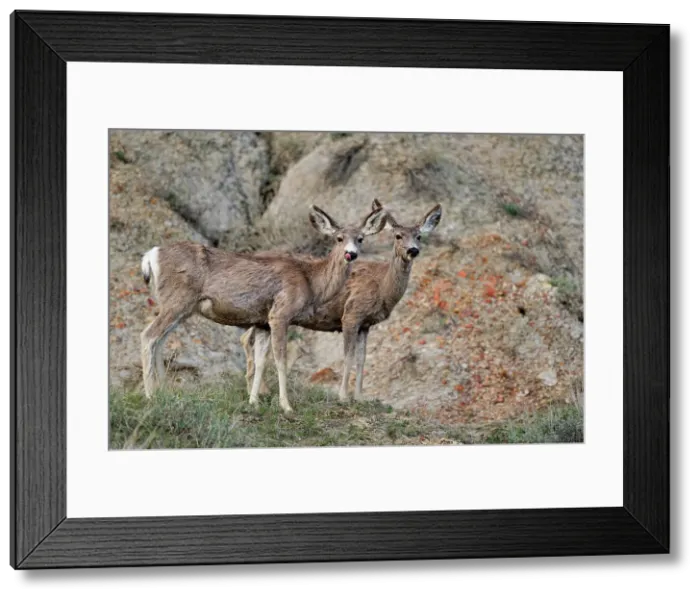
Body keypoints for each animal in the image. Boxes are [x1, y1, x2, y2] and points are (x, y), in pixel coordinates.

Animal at [139, 203, 388, 415]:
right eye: (338, 238)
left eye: (360, 239)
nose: (350, 254)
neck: (310, 280)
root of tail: (151, 255)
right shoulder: (280, 314)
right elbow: (280, 360)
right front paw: (286, 405)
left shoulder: (262, 322)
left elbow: (260, 361)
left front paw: (253, 401)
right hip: (177, 300)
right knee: (148, 335)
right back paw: (150, 395)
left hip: (181, 307)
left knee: (160, 340)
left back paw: (165, 391)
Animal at [239, 199, 442, 403]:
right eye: (398, 236)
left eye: (419, 236)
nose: (413, 250)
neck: (383, 286)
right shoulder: (352, 314)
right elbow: (348, 356)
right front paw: (344, 396)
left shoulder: (365, 324)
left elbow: (362, 358)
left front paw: (360, 397)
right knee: (250, 340)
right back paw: (259, 391)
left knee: (247, 338)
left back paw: (256, 390)